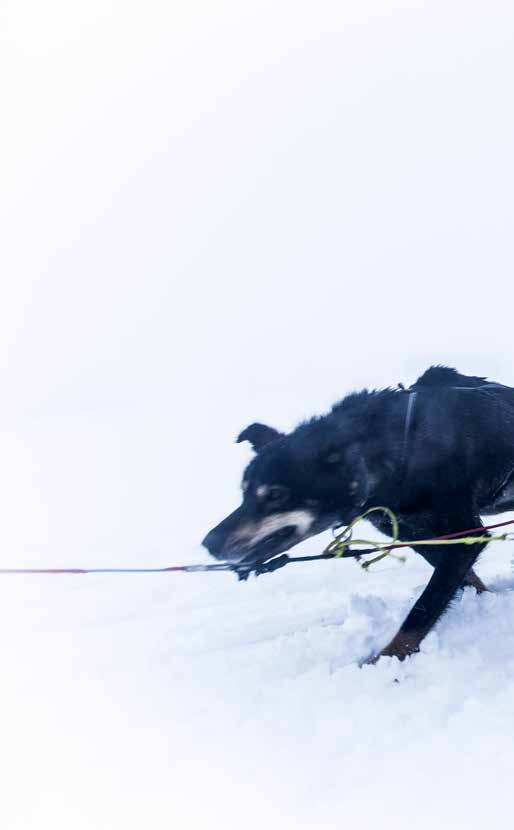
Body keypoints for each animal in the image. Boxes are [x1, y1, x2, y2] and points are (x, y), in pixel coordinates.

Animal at [202, 368, 512, 664]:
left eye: (276, 494)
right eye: (244, 492)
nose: (210, 541)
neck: (402, 448)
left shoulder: (464, 536)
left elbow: (422, 610)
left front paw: (385, 659)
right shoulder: (413, 533)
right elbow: (463, 580)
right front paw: (485, 599)